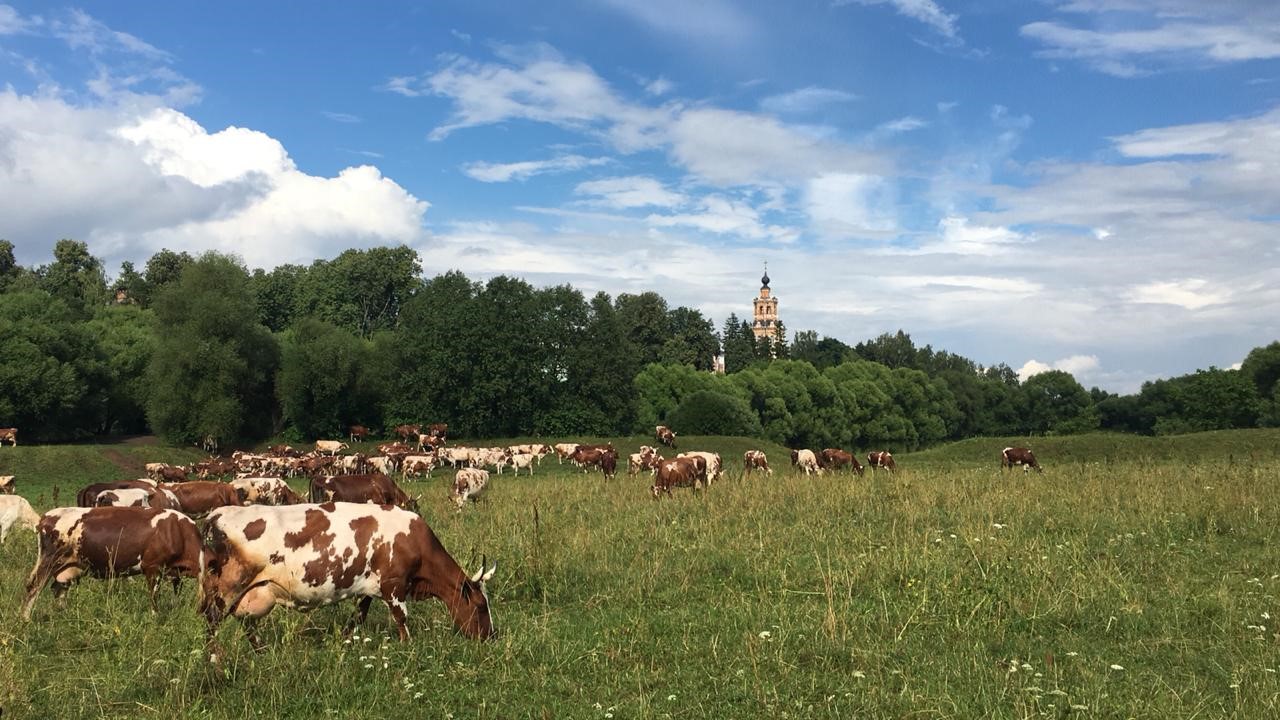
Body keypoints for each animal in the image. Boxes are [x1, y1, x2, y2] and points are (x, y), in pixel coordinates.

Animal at [21, 504, 202, 617]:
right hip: (49, 561)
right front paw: (155, 617)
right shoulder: (153, 567)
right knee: (34, 587)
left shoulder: (175, 573)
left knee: (59, 588)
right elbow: (154, 596)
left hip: (70, 567)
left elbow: (176, 593)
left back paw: (63, 614)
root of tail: (47, 516)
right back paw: (25, 619)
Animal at [197, 502, 496, 653]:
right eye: (481, 606)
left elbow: (359, 615)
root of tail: (219, 512)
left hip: (253, 591)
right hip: (228, 587)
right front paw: (408, 646)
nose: (491, 636)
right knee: (212, 621)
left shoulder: (368, 587)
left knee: (245, 622)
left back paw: (260, 651)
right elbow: (401, 618)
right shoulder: (393, 584)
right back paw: (214, 659)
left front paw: (347, 640)